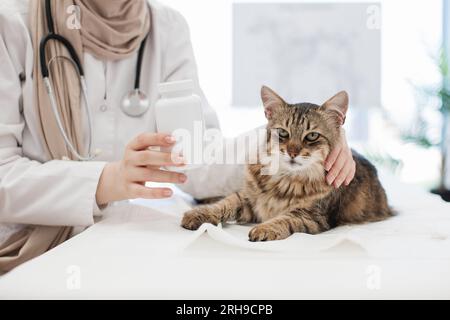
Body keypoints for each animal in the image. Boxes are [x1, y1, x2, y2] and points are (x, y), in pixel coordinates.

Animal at [181, 86, 392, 241]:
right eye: (283, 133)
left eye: (312, 136)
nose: (292, 152)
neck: (285, 181)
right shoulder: (248, 199)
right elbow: (224, 204)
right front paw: (197, 214)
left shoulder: (312, 216)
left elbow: (284, 219)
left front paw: (264, 229)